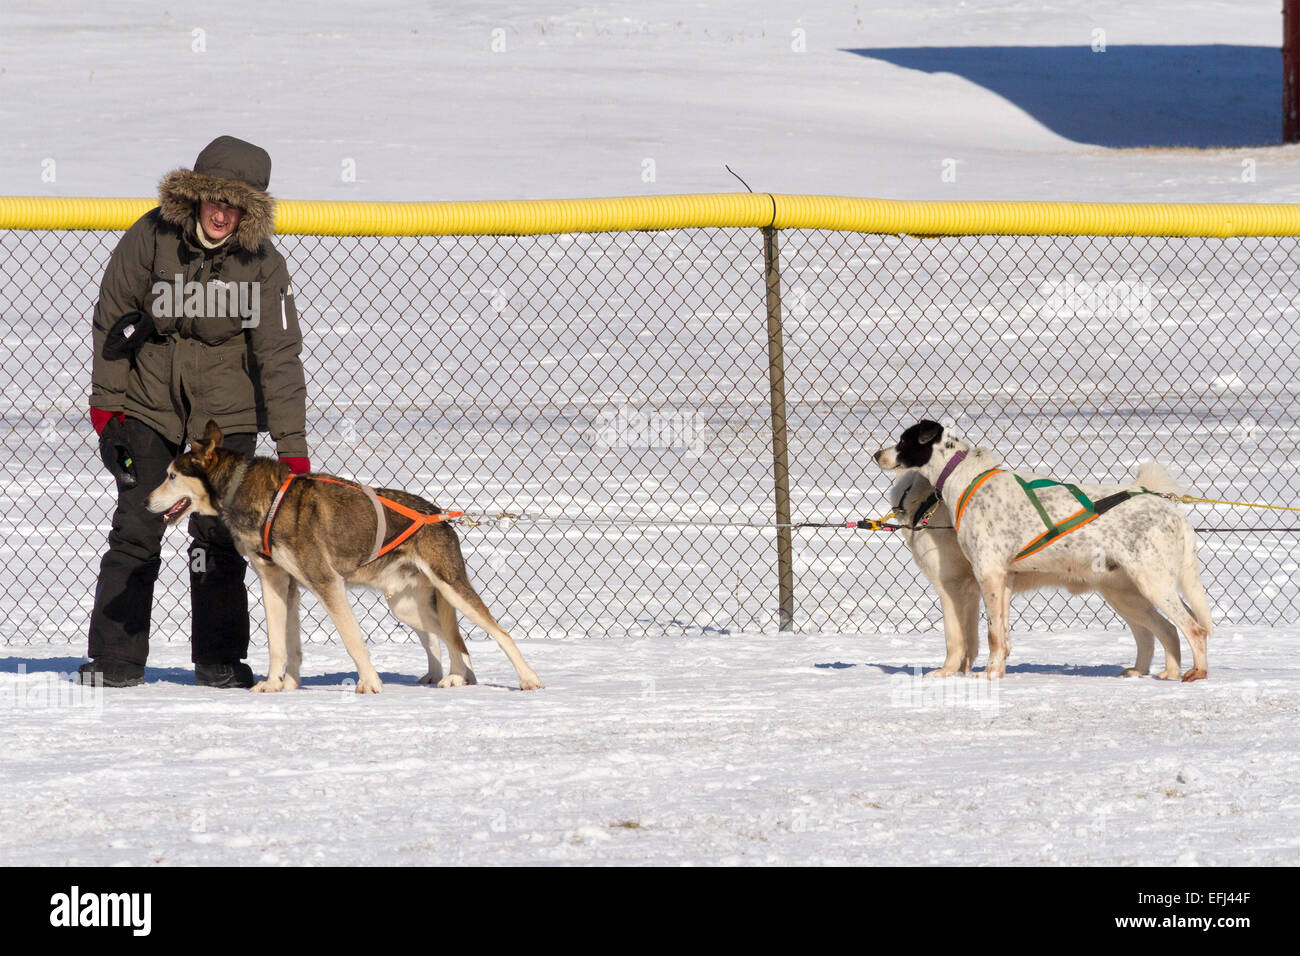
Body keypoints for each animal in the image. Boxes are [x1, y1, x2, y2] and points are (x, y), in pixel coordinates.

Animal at [148, 421, 543, 691]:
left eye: (171, 476)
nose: (144, 499)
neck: (250, 494)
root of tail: (438, 516)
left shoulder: (327, 583)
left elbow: (352, 639)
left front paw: (369, 684)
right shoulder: (279, 583)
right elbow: (282, 644)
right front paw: (279, 684)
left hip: (451, 589)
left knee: (497, 633)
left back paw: (526, 678)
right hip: (406, 605)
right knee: (446, 639)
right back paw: (454, 676)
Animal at [878, 421, 1211, 681]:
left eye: (904, 440)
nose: (876, 454)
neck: (964, 479)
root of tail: (1174, 512)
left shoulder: (987, 576)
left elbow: (990, 635)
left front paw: (989, 673)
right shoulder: (1000, 581)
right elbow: (1000, 636)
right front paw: (995, 669)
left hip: (1152, 583)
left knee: (1193, 629)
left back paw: (1196, 673)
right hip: (1127, 592)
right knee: (1166, 629)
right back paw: (1167, 672)